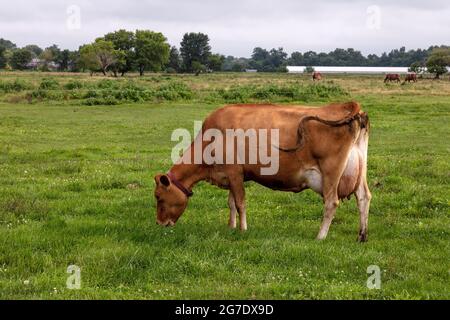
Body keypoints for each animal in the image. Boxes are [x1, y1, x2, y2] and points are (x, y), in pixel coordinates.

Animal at [155, 101, 372, 241]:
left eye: (158, 197)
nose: (159, 223)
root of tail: (348, 106)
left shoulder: (234, 172)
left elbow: (240, 203)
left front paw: (243, 230)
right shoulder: (232, 176)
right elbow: (231, 203)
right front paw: (231, 227)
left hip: (330, 172)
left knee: (331, 202)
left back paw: (320, 236)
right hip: (359, 169)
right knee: (364, 197)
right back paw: (362, 235)